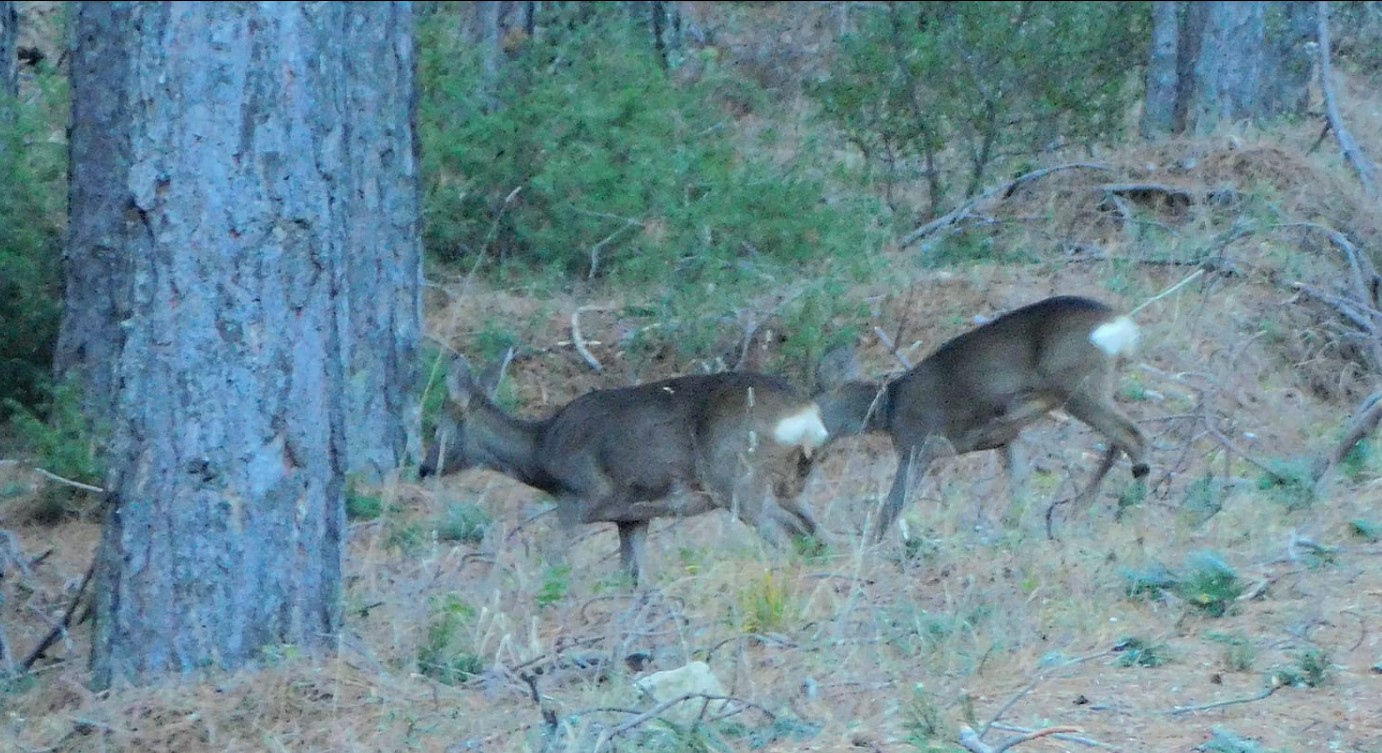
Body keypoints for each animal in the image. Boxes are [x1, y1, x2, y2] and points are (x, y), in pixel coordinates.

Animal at [420, 352, 829, 580]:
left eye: (437, 428)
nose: (424, 468)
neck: (541, 450)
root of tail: (806, 415)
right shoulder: (632, 516)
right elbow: (631, 575)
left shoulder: (577, 497)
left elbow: (554, 559)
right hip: (792, 485)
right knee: (818, 536)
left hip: (736, 478)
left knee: (786, 537)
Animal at [812, 292, 1149, 541]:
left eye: (811, 404)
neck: (889, 407)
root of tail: (1123, 326)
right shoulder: (1007, 435)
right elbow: (1020, 488)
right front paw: (1024, 531)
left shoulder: (917, 445)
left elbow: (893, 505)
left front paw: (867, 547)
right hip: (1099, 386)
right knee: (1120, 439)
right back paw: (1089, 505)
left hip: (1078, 385)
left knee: (1132, 435)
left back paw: (1128, 501)